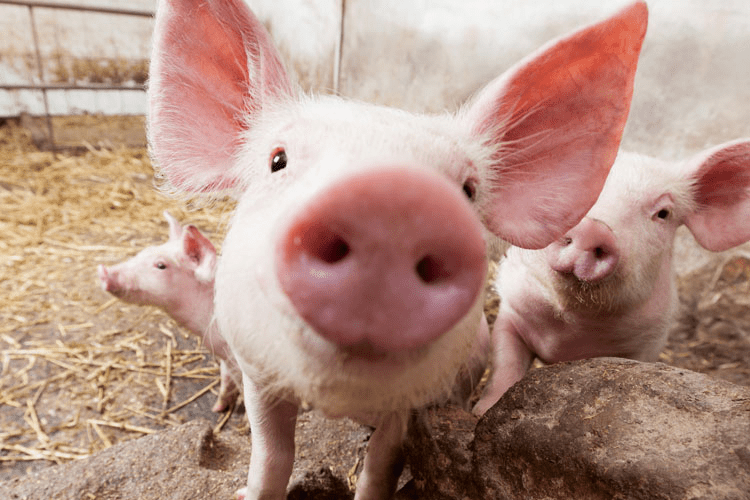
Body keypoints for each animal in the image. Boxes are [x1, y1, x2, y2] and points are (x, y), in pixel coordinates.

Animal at [97, 211, 241, 412]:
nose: (103, 271)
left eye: (161, 265)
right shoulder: (225, 355)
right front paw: (218, 408)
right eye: (143, 252)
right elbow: (226, 377)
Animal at [147, 0, 647, 497]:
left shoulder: (417, 403)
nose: (392, 200)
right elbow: (271, 455)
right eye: (278, 160)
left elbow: (381, 464)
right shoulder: (257, 373)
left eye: (467, 190)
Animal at [474, 139, 750, 416]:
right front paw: (482, 410)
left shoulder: (647, 342)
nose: (593, 230)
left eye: (663, 213)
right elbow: (505, 363)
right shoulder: (512, 309)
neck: (569, 331)